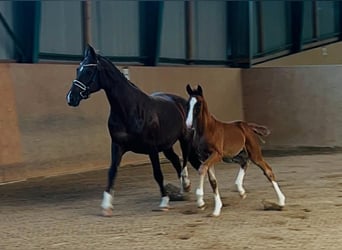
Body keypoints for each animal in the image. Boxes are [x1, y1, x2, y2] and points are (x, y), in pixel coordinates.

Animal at [65, 45, 194, 217]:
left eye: (88, 71)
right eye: (77, 69)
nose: (71, 98)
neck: (130, 109)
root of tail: (180, 101)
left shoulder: (152, 148)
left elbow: (157, 173)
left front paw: (164, 202)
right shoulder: (117, 145)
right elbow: (112, 172)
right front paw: (106, 206)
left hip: (184, 139)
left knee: (184, 159)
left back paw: (185, 185)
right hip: (166, 146)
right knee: (175, 160)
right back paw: (184, 187)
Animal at [186, 84, 284, 217]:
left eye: (198, 104)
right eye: (187, 104)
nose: (188, 124)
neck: (206, 130)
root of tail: (247, 125)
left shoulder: (216, 154)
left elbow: (202, 169)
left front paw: (201, 202)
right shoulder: (204, 156)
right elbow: (213, 181)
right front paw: (216, 209)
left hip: (254, 153)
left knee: (267, 170)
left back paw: (281, 202)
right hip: (232, 156)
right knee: (244, 163)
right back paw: (241, 191)